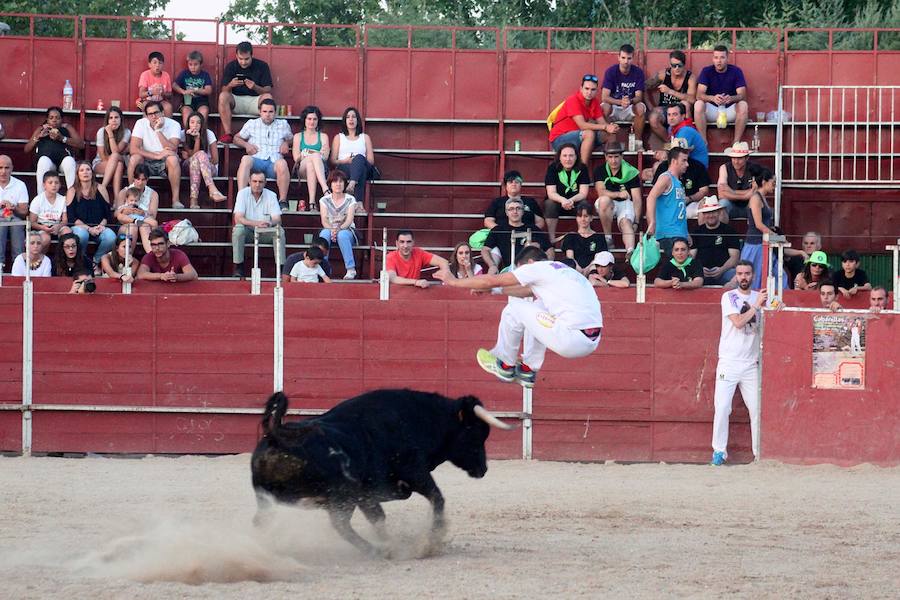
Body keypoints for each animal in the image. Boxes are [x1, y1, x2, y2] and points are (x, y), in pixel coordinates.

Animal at [250, 390, 512, 552]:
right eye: (475, 433)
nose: (483, 469)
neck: (422, 419)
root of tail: (277, 435)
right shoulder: (415, 472)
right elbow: (437, 498)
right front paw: (433, 537)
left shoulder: (371, 493)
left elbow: (378, 516)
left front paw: (389, 539)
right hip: (341, 497)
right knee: (340, 525)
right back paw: (376, 550)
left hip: (268, 500)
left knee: (261, 522)